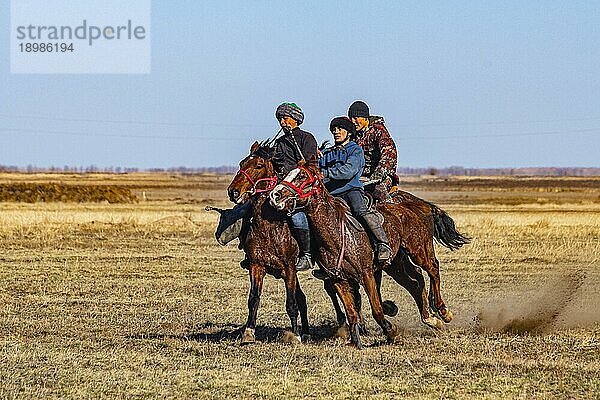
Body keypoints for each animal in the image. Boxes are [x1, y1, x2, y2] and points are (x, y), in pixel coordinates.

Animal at [270, 161, 466, 346]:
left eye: (302, 176)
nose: (275, 195)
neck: (336, 232)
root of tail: (419, 206)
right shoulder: (338, 279)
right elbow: (351, 312)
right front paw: (355, 341)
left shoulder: (367, 274)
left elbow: (376, 309)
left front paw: (391, 331)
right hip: (396, 263)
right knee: (416, 281)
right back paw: (430, 319)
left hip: (420, 250)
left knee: (433, 269)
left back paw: (443, 311)